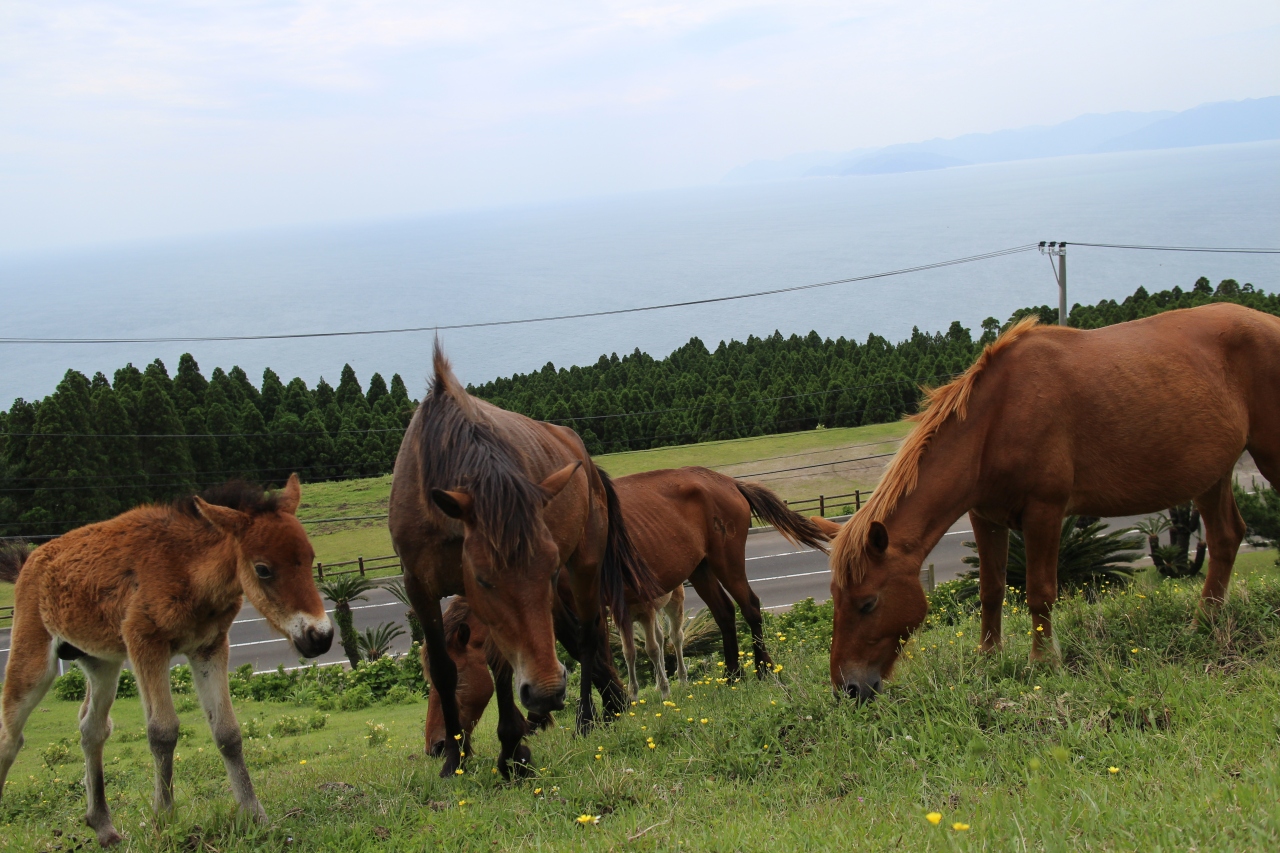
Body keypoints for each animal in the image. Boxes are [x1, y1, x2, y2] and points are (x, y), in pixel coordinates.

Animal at [386, 340, 660, 778]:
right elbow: (450, 664)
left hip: (583, 566)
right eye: (483, 579)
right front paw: (456, 759)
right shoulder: (420, 585)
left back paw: (588, 718)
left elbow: (502, 666)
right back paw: (608, 704)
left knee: (587, 635)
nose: (435, 744)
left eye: (547, 570)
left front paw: (513, 749)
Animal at [424, 466, 834, 753]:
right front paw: (610, 704)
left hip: (726, 560)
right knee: (723, 614)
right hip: (700, 569)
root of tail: (729, 483)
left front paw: (605, 711)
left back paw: (763, 670)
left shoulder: (584, 604)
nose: (437, 745)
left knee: (749, 607)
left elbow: (590, 650)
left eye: (457, 678)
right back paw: (732, 676)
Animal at [824, 302, 1280, 701]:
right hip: (1211, 475)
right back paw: (1205, 623)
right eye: (836, 599)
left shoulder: (1044, 511)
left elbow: (1039, 592)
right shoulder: (984, 516)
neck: (998, 416)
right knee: (1225, 538)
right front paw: (988, 659)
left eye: (868, 603)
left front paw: (1044, 662)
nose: (848, 689)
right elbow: (991, 589)